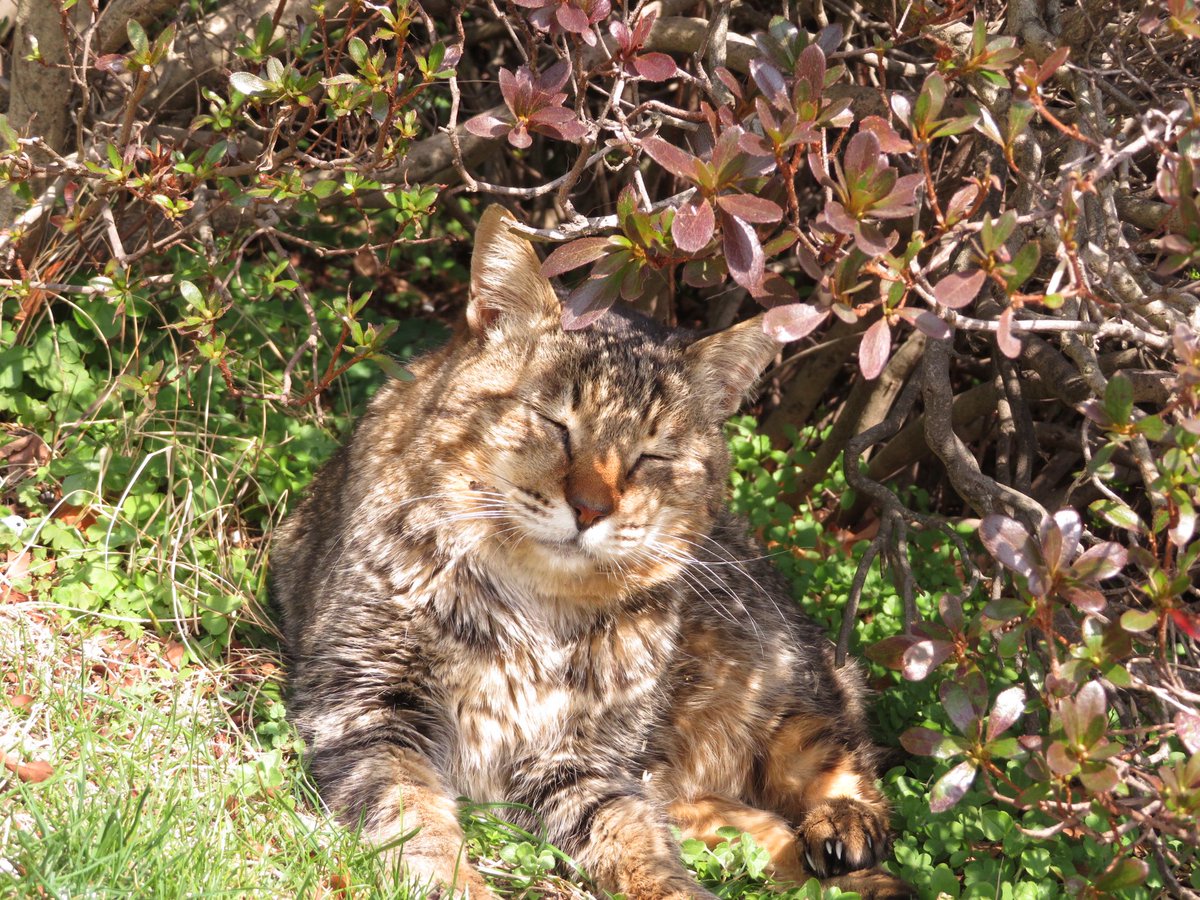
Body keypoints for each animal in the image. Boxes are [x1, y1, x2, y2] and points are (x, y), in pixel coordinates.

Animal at [272, 204, 907, 900]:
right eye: (556, 424)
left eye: (652, 457)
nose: (590, 508)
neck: (534, 615)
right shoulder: (369, 709)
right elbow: (415, 821)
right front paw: (456, 880)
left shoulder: (581, 761)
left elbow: (634, 842)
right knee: (744, 820)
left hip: (782, 683)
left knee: (835, 755)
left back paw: (845, 828)